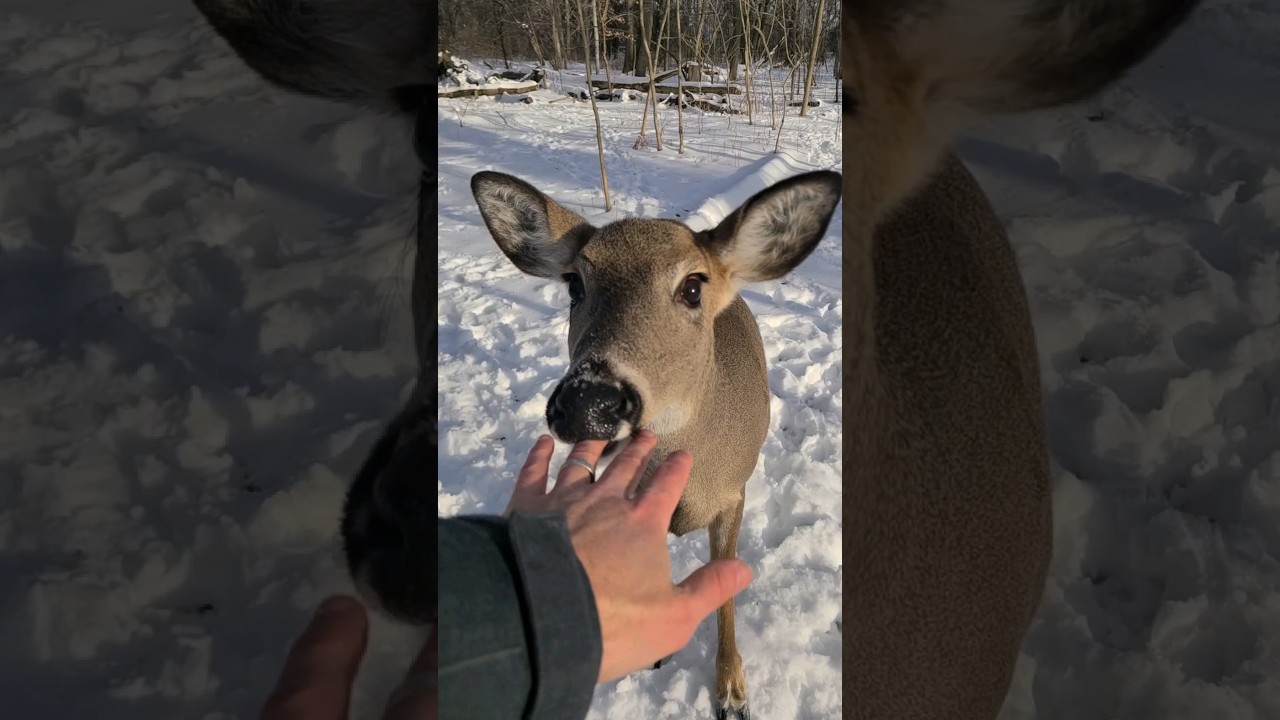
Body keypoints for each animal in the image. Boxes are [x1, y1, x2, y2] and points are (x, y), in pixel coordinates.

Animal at [469, 170, 842, 719]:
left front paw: (732, 693)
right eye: (575, 284)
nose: (588, 401)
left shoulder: (733, 495)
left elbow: (723, 591)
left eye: (692, 286)